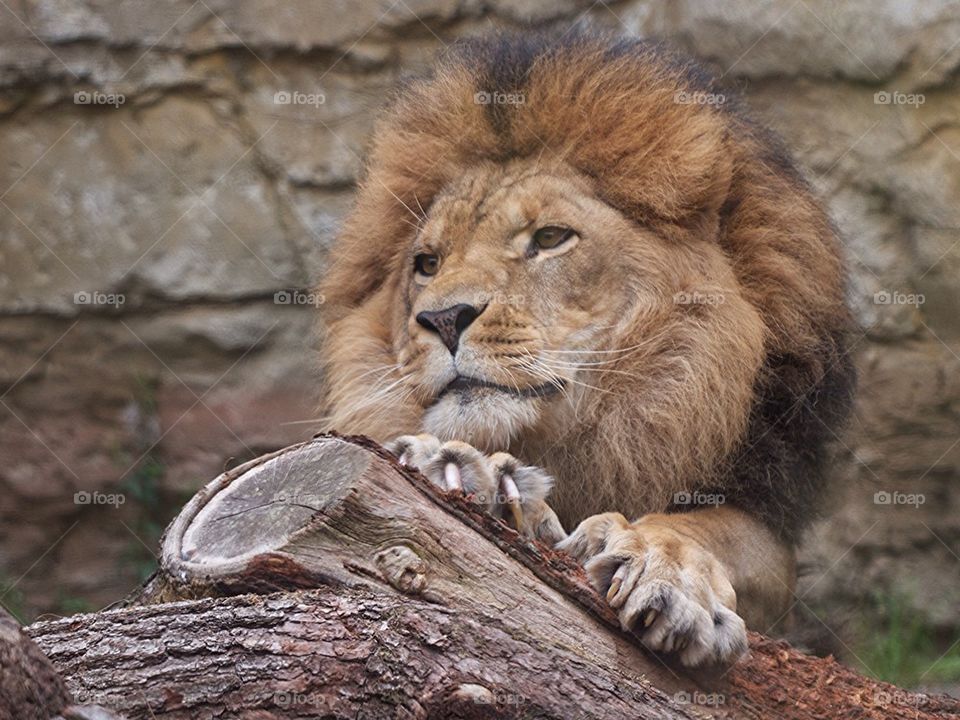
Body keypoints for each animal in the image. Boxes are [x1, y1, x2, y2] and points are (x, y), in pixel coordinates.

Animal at [316, 31, 856, 668]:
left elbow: (707, 529)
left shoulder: (765, 523)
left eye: (550, 238)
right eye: (427, 264)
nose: (443, 318)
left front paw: (667, 575)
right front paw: (461, 469)